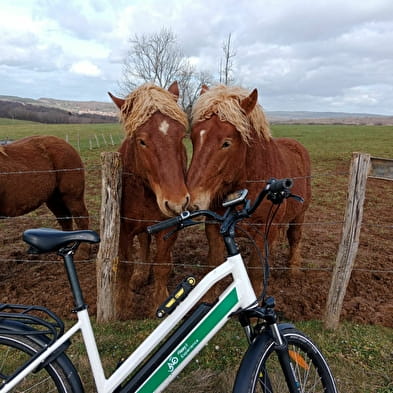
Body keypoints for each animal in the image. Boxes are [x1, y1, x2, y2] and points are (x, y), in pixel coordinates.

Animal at [108, 82, 189, 318]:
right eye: (141, 141)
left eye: (181, 137)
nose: (177, 202)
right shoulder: (123, 228)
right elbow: (124, 267)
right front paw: (122, 306)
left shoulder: (169, 225)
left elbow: (162, 265)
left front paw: (161, 303)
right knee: (143, 241)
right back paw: (141, 274)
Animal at [185, 84, 310, 290]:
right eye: (194, 138)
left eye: (226, 143)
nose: (191, 202)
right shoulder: (214, 227)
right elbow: (213, 265)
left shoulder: (265, 231)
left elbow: (256, 272)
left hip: (299, 216)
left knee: (295, 238)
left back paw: (293, 272)